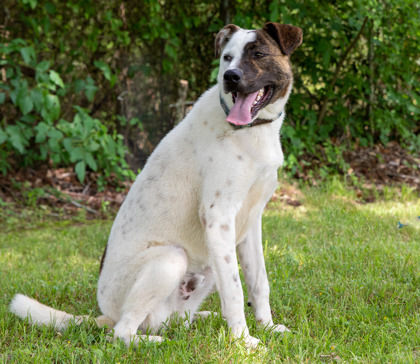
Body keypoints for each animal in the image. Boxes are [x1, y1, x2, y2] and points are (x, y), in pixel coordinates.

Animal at [9, 21, 302, 348]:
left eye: (259, 54)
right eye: (227, 57)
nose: (230, 77)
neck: (250, 130)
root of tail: (104, 314)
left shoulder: (249, 222)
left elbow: (258, 282)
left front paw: (267, 327)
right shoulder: (219, 217)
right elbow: (236, 291)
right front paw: (243, 341)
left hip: (206, 262)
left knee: (173, 319)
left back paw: (202, 319)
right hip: (171, 258)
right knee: (122, 332)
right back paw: (156, 343)